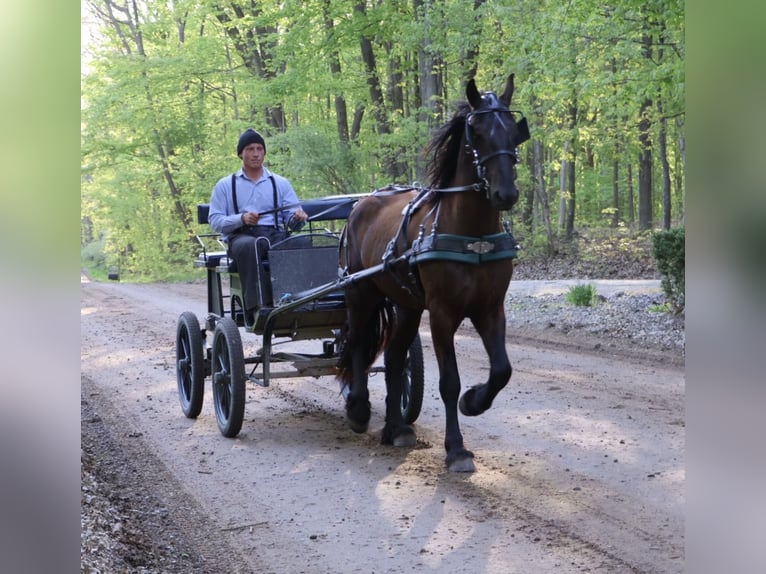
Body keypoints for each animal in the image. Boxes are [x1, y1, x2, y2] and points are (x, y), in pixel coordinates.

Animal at [337, 74, 530, 472]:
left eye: (512, 131)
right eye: (477, 133)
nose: (506, 194)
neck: (472, 236)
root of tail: (360, 204)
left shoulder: (490, 309)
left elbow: (501, 370)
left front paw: (474, 401)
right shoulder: (442, 313)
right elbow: (449, 382)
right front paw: (456, 448)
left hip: (407, 306)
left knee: (395, 359)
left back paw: (396, 428)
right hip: (361, 293)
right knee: (359, 344)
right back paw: (359, 409)